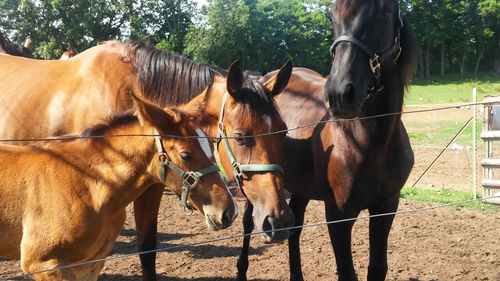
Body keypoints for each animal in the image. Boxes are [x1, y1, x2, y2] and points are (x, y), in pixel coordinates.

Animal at [0, 94, 236, 280]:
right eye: (186, 155)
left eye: (211, 146)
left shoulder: (89, 265)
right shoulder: (43, 265)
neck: (86, 184)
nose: (228, 213)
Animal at [236, 0, 416, 280]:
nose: (340, 93)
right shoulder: (338, 215)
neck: (371, 140)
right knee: (248, 222)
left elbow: (377, 268)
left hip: (300, 186)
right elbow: (347, 273)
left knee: (294, 227)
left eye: (385, 12)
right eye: (331, 16)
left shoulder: (386, 207)